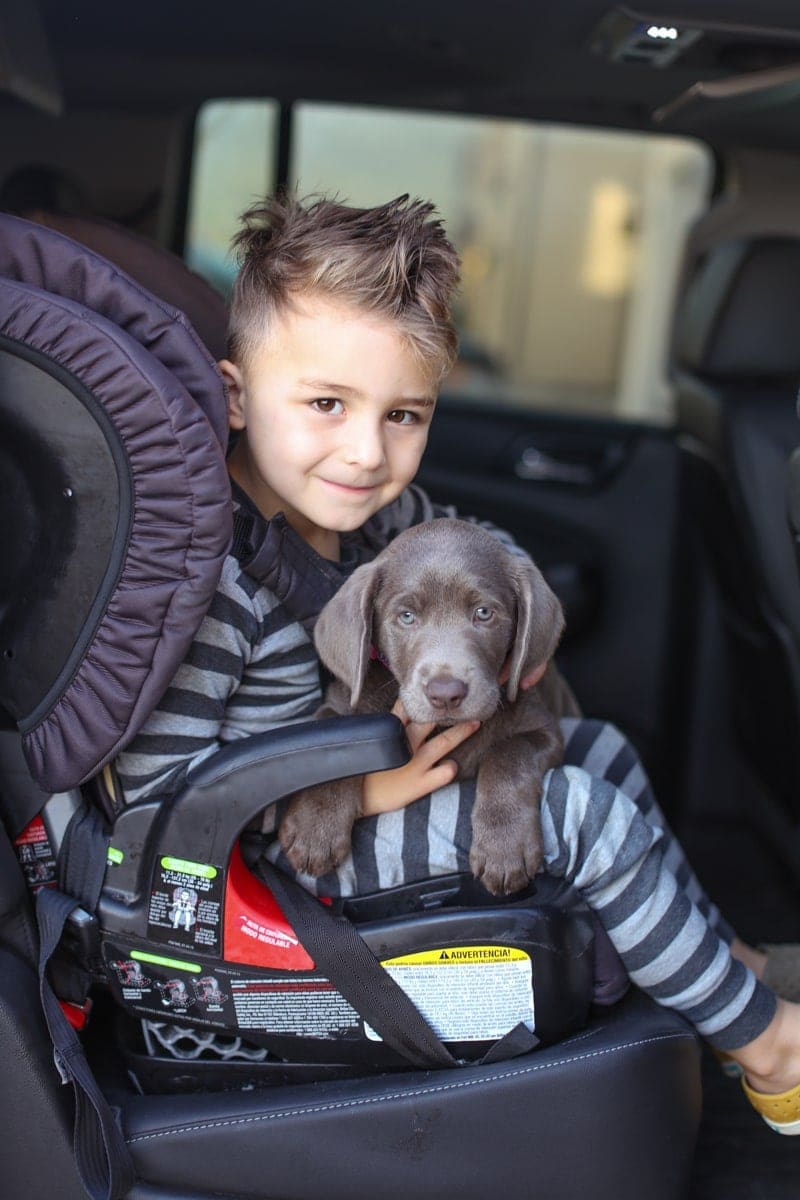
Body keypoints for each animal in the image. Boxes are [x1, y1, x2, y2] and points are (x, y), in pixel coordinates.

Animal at [278, 520, 578, 897]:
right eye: (406, 617)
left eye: (484, 613)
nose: (445, 693)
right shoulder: (341, 703)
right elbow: (330, 743)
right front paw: (314, 825)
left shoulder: (543, 728)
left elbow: (510, 753)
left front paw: (504, 846)